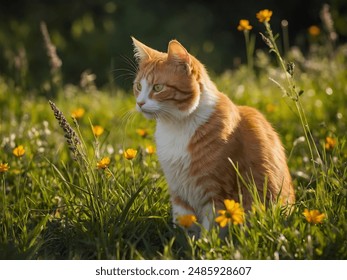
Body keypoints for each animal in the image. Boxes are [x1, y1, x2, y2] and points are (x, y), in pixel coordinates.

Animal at [132, 37, 294, 233]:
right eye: (138, 86)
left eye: (158, 87)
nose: (140, 103)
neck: (176, 127)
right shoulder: (179, 192)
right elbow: (184, 227)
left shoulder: (216, 191)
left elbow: (211, 230)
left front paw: (207, 241)